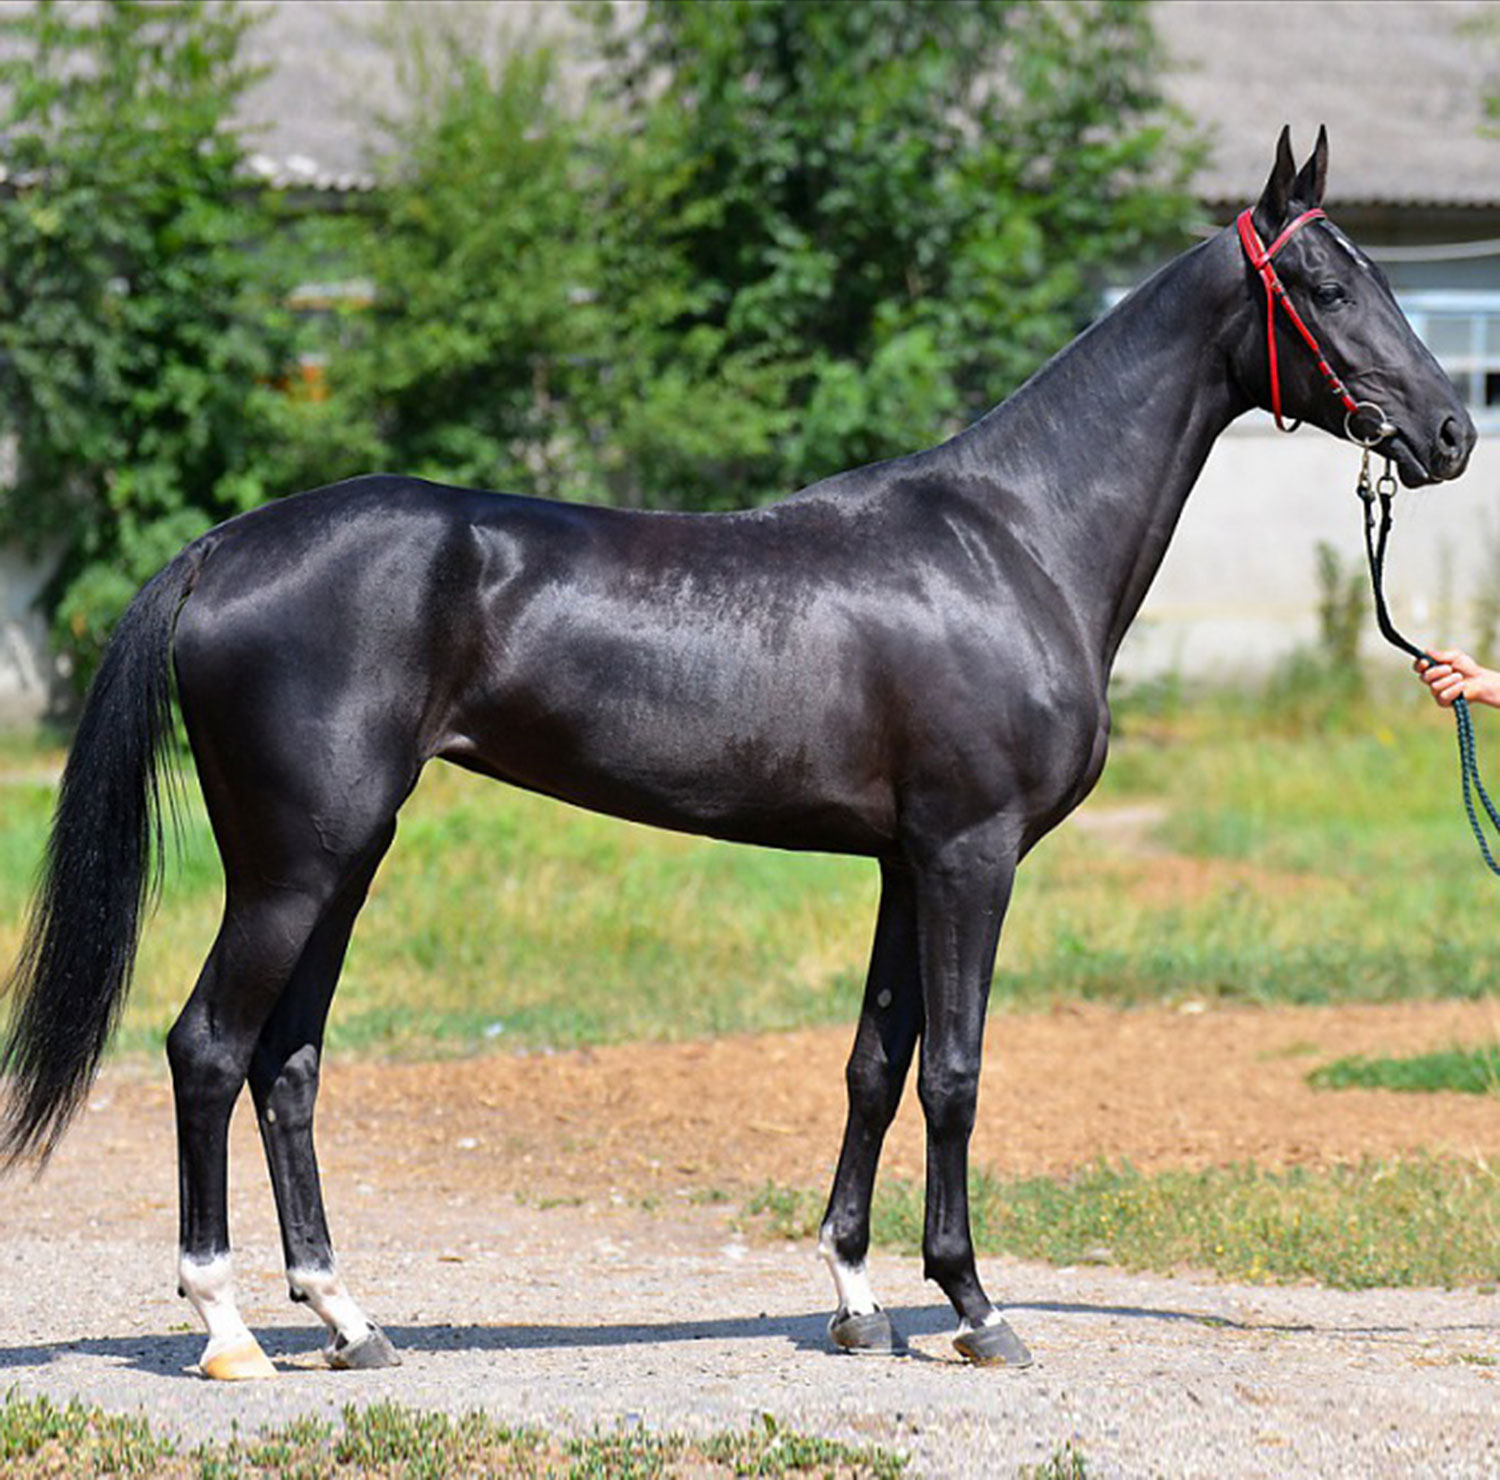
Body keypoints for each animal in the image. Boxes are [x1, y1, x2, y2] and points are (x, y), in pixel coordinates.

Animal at [0, 130, 1476, 1379]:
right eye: (1327, 284)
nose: (1451, 432)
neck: (1014, 538)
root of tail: (219, 548)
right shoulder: (972, 853)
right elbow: (954, 1071)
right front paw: (974, 1308)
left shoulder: (904, 860)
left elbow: (875, 1065)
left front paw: (858, 1302)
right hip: (294, 865)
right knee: (207, 1047)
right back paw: (227, 1329)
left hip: (345, 857)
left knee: (287, 1064)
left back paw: (349, 1322)